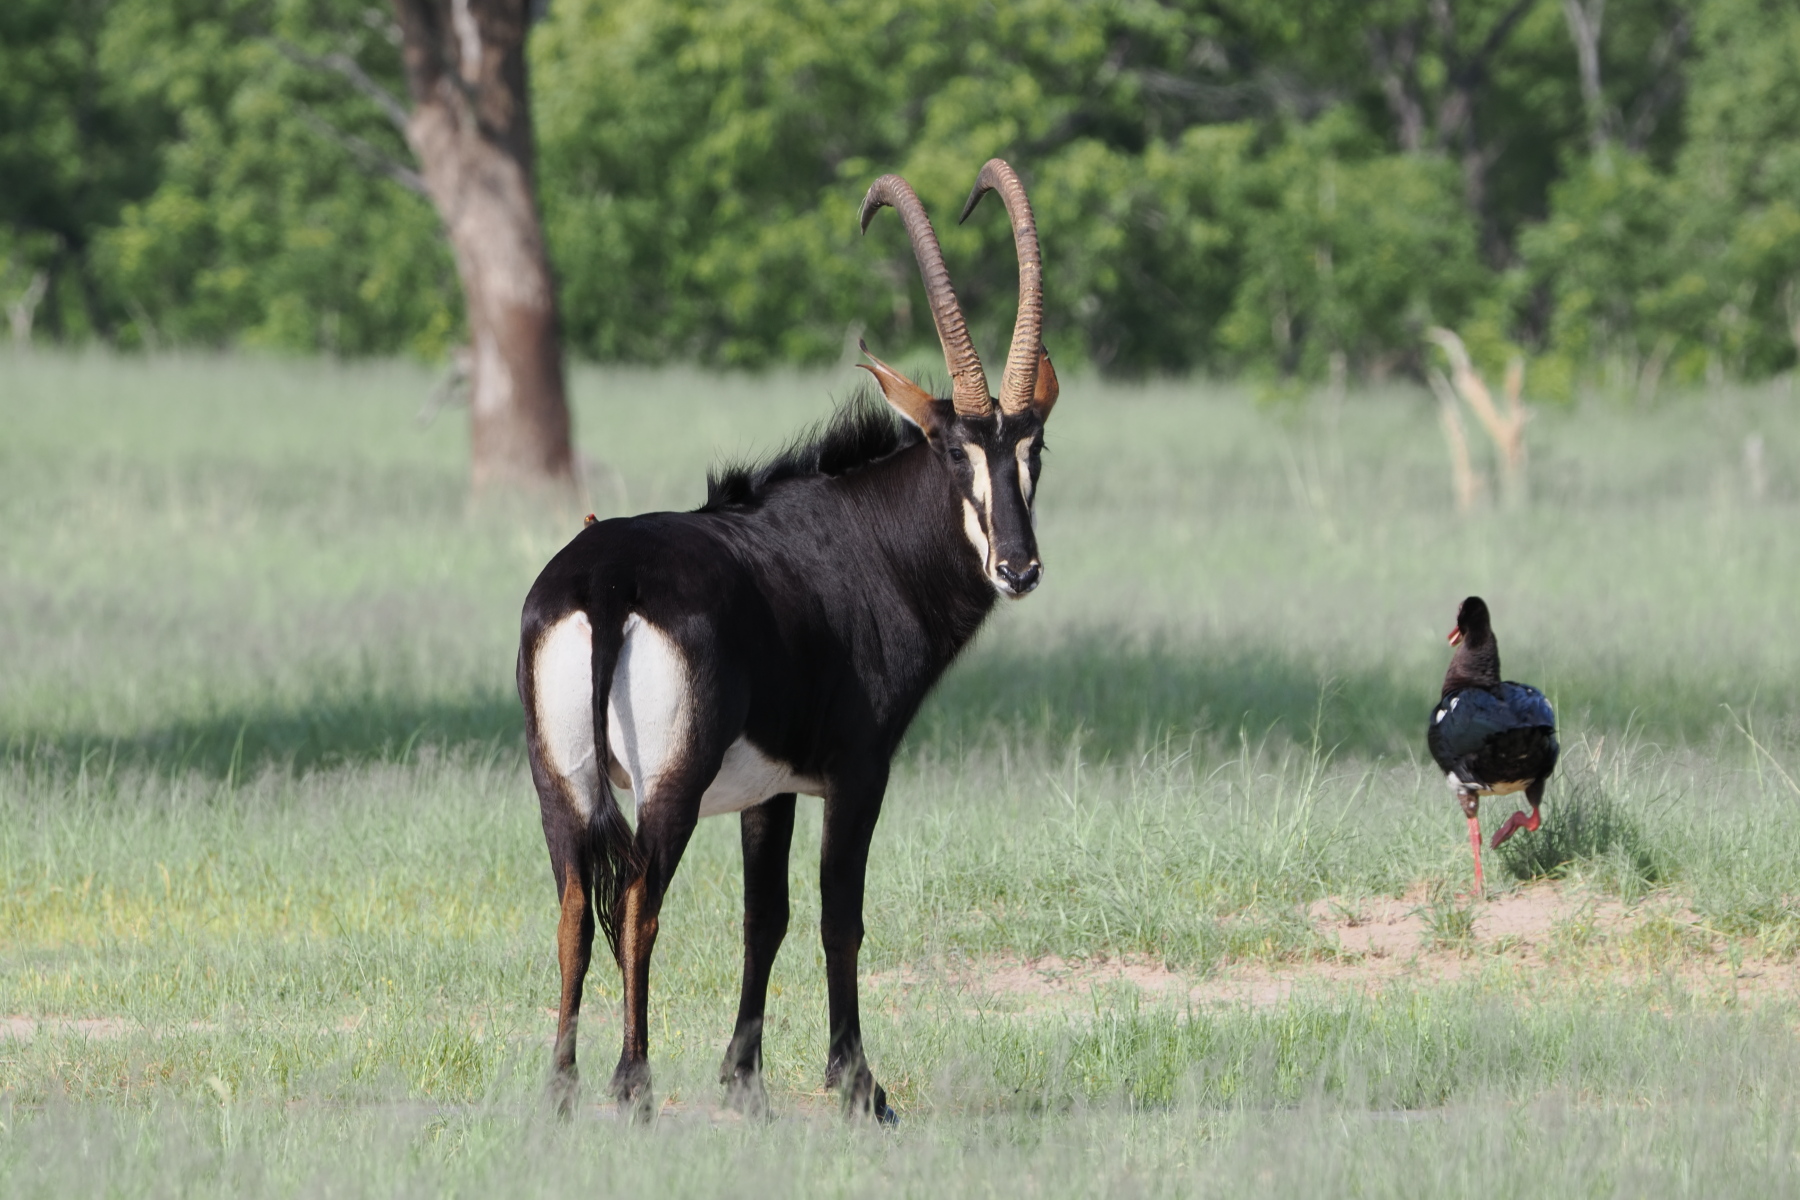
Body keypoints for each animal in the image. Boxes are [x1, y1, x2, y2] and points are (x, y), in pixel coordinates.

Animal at [516, 160, 1059, 1121]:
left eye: (1036, 451)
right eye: (953, 450)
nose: (1018, 567)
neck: (864, 538)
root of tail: (606, 579)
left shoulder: (765, 791)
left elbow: (761, 917)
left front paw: (746, 1084)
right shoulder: (857, 772)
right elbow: (839, 912)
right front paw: (860, 1087)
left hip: (562, 780)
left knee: (577, 904)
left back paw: (562, 1090)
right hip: (671, 783)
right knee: (642, 900)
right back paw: (633, 1087)